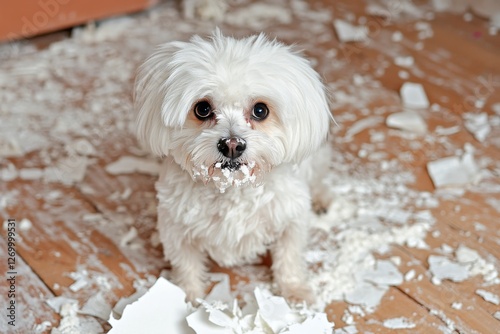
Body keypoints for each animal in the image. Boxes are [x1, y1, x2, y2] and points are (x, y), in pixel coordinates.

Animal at [135, 30, 334, 302]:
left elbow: (289, 257)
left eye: (260, 110)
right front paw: (186, 295)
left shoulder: (291, 218)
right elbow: (186, 264)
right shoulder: (175, 226)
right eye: (202, 108)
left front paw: (294, 290)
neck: (231, 187)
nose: (231, 145)